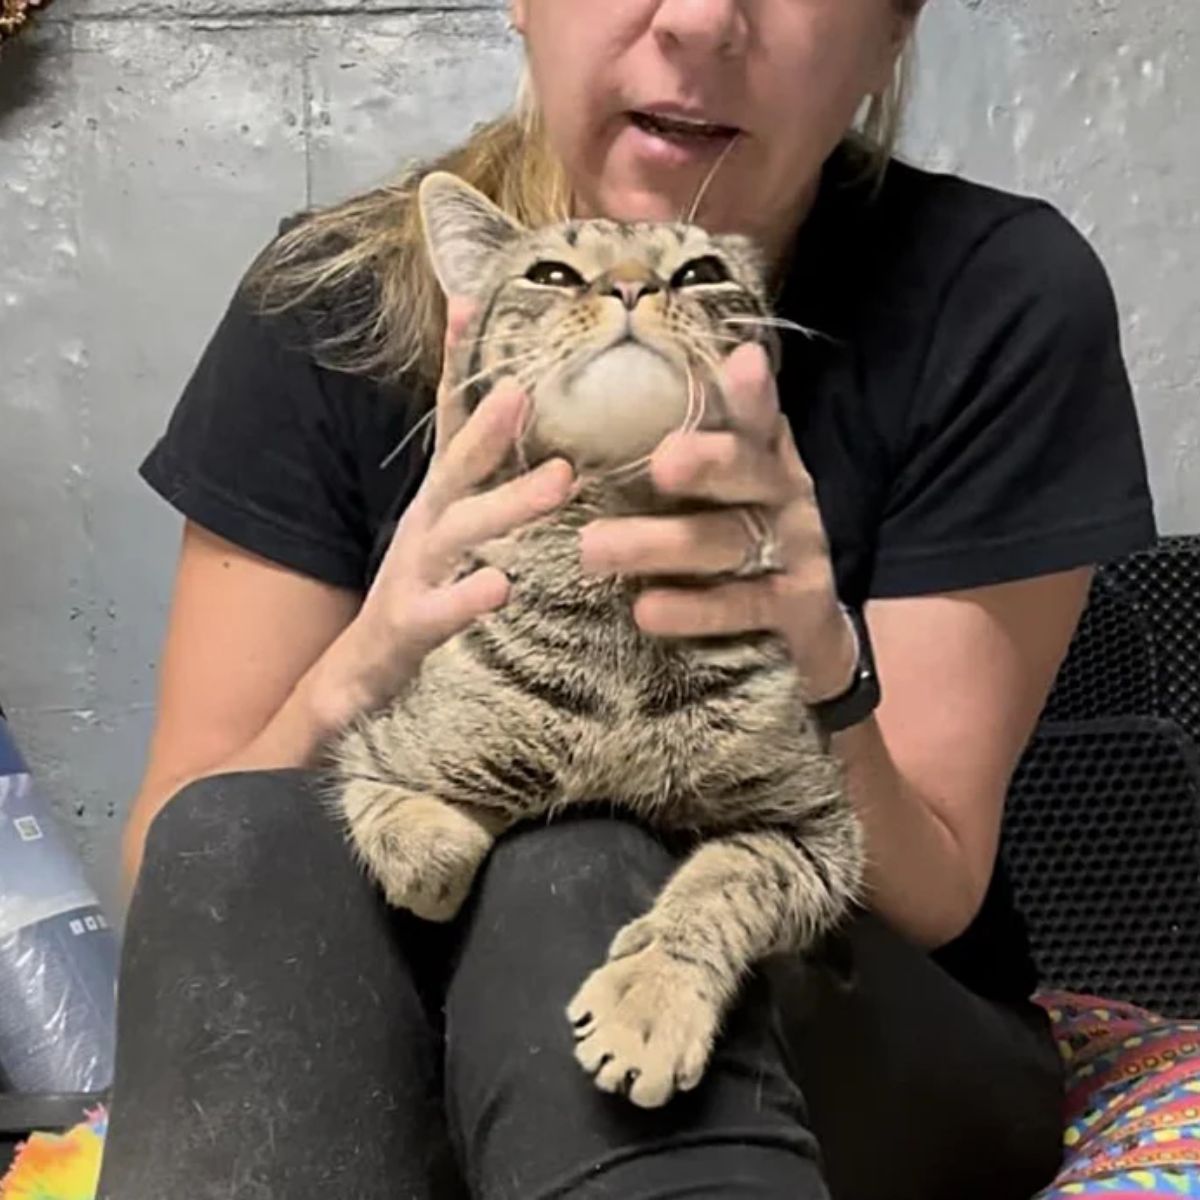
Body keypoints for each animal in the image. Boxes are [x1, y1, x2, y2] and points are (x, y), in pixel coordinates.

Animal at [333, 169, 864, 1104]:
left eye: (699, 272)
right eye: (551, 274)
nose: (629, 287)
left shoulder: (820, 832)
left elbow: (725, 878)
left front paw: (651, 1000)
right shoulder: (374, 749)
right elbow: (415, 835)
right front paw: (451, 848)